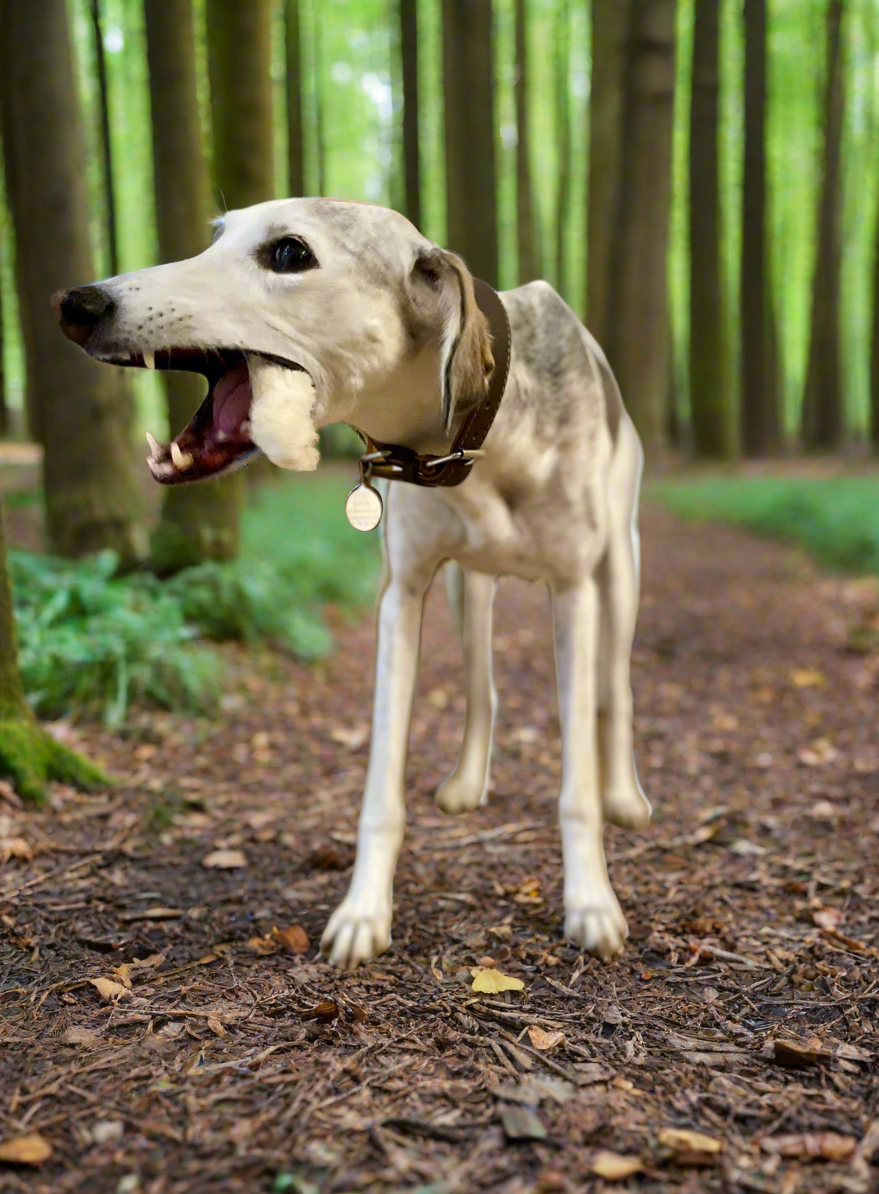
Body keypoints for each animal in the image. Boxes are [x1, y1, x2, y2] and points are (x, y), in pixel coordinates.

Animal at [51, 198, 649, 969]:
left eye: (288, 253)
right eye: (216, 237)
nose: (78, 304)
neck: (482, 432)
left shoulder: (573, 593)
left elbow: (575, 784)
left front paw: (591, 902)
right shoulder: (402, 598)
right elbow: (380, 791)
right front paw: (364, 912)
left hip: (619, 571)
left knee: (615, 690)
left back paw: (625, 794)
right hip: (467, 589)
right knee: (480, 681)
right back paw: (466, 782)